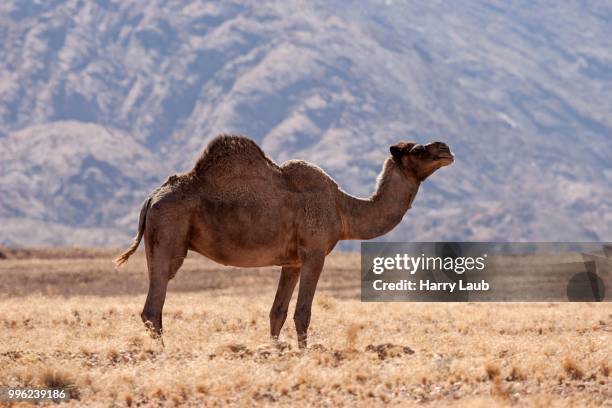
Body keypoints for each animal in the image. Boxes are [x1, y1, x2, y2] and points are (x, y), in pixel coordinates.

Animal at [115, 135, 452, 348]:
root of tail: (151, 198)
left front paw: (275, 352)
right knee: (153, 306)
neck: (343, 210)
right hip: (169, 233)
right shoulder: (315, 252)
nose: (446, 149)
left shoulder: (292, 261)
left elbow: (277, 312)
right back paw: (163, 354)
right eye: (418, 150)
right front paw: (304, 354)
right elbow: (303, 312)